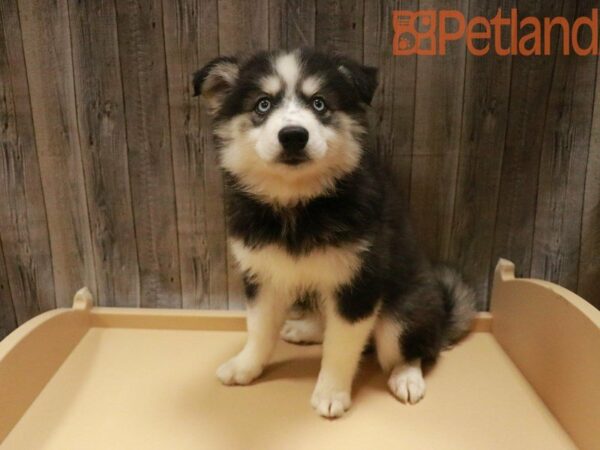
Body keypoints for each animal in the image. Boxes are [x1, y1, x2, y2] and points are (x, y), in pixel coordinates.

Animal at [195, 48, 476, 418]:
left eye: (319, 103)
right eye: (262, 104)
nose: (293, 135)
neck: (298, 203)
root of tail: (443, 317)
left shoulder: (358, 284)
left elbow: (340, 348)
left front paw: (331, 394)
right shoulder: (262, 274)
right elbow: (258, 328)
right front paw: (245, 366)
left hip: (403, 315)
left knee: (410, 349)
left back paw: (406, 377)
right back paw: (303, 329)